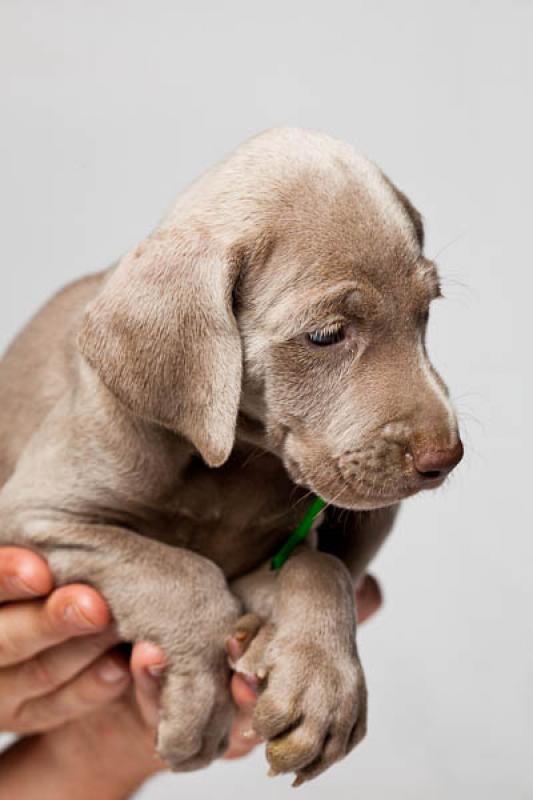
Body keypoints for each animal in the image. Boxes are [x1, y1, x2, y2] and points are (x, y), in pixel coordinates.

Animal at [0, 128, 462, 784]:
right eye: (325, 335)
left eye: (426, 312)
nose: (446, 457)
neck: (231, 462)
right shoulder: (34, 516)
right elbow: (180, 574)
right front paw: (200, 707)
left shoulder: (272, 553)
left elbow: (320, 569)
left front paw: (319, 688)